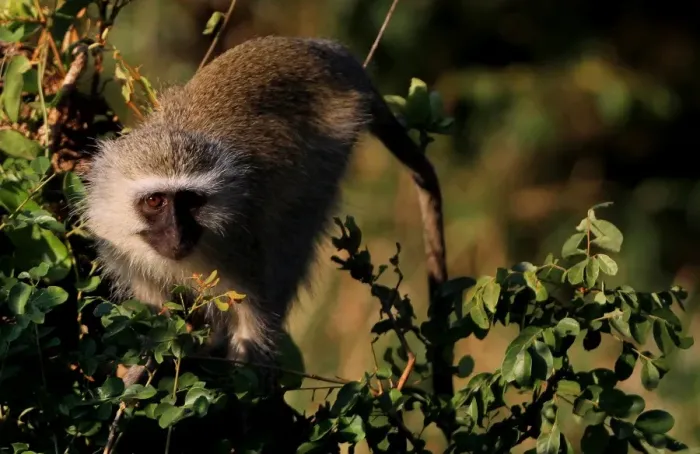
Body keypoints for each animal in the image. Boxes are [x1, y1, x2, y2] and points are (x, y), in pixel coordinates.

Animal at [80, 35, 447, 388]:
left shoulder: (240, 241)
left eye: (191, 201)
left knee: (293, 233)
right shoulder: (118, 246)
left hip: (331, 147)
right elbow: (157, 313)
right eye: (156, 201)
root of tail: (323, 50)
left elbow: (252, 310)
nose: (177, 233)